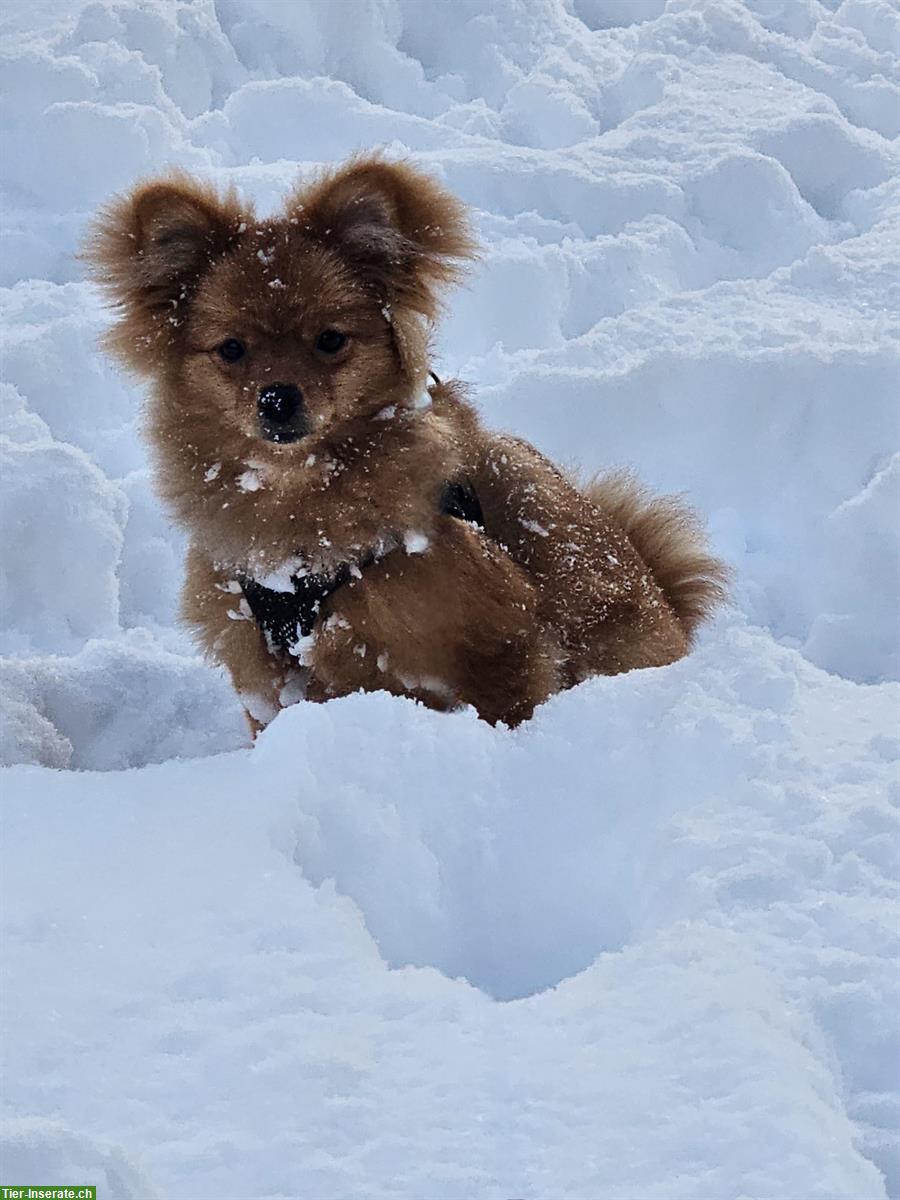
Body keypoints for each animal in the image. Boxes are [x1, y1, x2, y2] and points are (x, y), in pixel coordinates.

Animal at [86, 152, 724, 729]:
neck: (299, 508)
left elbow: (508, 706)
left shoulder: (498, 639)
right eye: (232, 350)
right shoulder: (265, 670)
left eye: (330, 340)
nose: (277, 399)